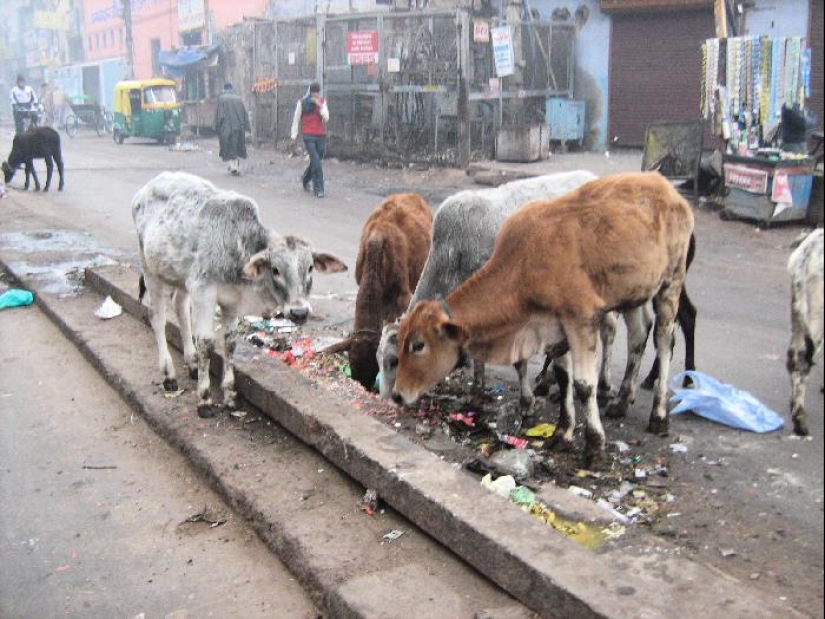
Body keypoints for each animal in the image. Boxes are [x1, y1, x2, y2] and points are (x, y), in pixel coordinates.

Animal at [133, 171, 347, 418]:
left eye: (311, 267)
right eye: (275, 270)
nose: (300, 312)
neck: (237, 246)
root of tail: (146, 188)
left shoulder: (231, 302)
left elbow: (229, 343)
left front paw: (229, 396)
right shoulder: (203, 291)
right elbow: (206, 343)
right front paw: (204, 399)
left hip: (181, 278)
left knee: (180, 308)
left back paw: (192, 363)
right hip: (150, 269)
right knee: (157, 318)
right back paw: (169, 375)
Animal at [376, 171, 598, 408]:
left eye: (393, 360)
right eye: (379, 359)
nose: (389, 399)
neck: (452, 255)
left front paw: (525, 401)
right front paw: (477, 390)